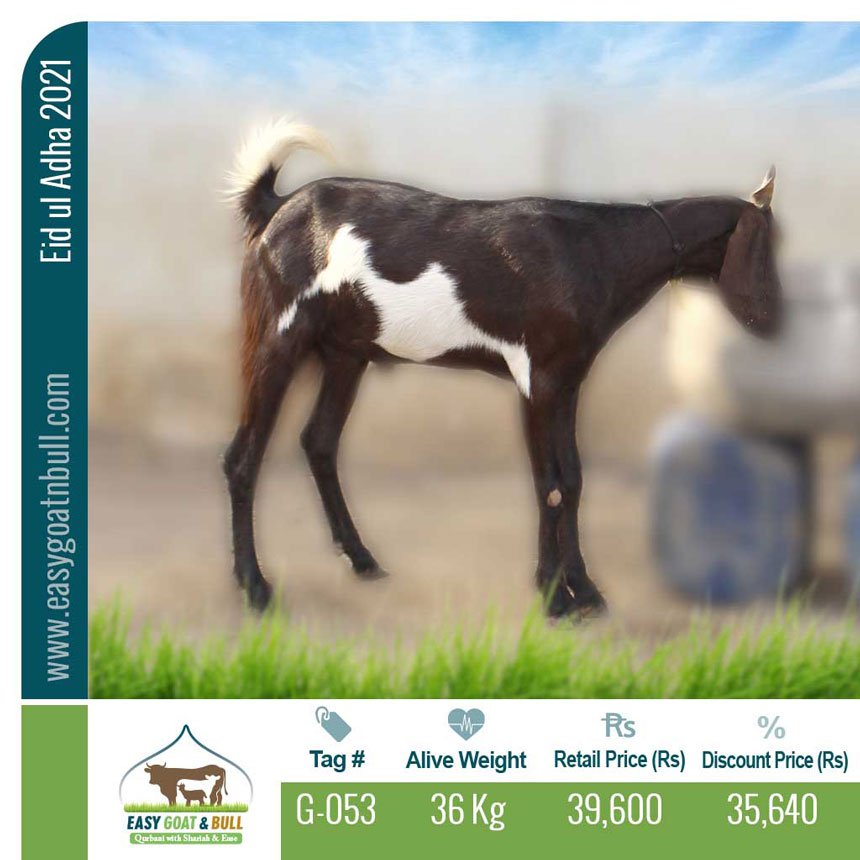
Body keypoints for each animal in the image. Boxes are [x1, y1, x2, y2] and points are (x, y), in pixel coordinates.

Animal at [223, 118, 782, 619]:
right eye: (766, 247)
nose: (774, 320)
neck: (593, 251)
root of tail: (275, 207)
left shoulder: (568, 380)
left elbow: (573, 480)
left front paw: (587, 592)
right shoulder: (536, 378)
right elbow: (548, 485)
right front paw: (555, 599)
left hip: (346, 352)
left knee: (318, 441)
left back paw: (362, 561)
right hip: (277, 336)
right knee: (242, 458)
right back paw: (256, 589)